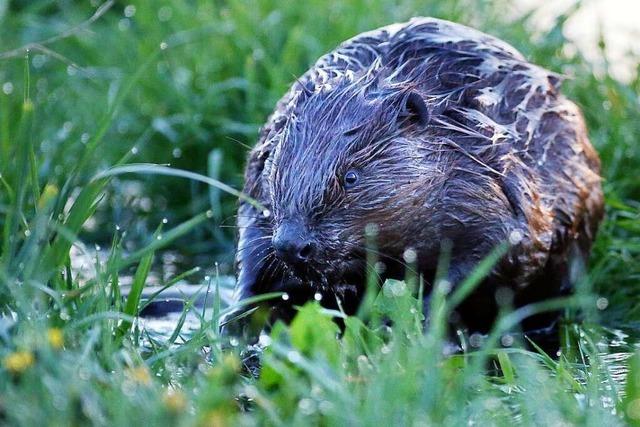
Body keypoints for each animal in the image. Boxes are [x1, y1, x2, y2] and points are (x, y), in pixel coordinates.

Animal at [222, 17, 604, 344]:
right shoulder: (260, 178)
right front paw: (237, 317)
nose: (292, 244)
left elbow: (496, 254)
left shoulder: (494, 186)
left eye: (351, 176)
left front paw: (412, 324)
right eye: (280, 166)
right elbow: (253, 239)